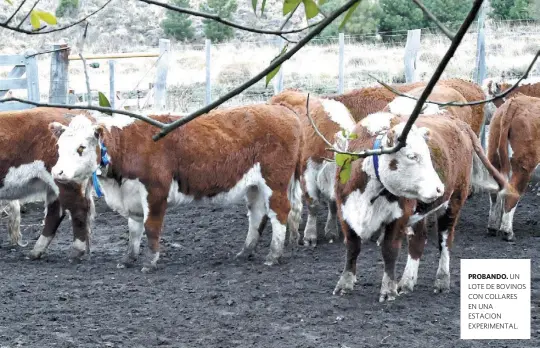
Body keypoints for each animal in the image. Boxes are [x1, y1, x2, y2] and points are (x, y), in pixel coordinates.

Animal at [0, 108, 94, 258]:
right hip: (54, 184)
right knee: (55, 212)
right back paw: (36, 251)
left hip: (65, 180)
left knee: (78, 208)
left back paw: (77, 250)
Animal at [49, 106, 304, 272]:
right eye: (59, 147)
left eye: (81, 148)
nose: (57, 172)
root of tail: (284, 111)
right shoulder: (131, 197)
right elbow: (134, 229)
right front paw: (128, 259)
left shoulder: (155, 191)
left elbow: (151, 227)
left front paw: (150, 262)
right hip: (254, 186)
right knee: (258, 215)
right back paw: (245, 252)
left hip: (276, 181)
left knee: (280, 212)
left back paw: (273, 255)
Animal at [332, 109, 512, 302]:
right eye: (412, 156)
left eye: (428, 154)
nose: (439, 188)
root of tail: (457, 122)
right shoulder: (345, 211)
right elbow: (352, 247)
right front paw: (344, 284)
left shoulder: (399, 216)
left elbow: (389, 250)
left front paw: (388, 290)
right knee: (418, 240)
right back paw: (406, 282)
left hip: (454, 200)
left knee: (445, 240)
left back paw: (442, 281)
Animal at [486, 94, 540, 241]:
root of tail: (515, 102)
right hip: (524, 166)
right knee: (512, 193)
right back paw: (507, 232)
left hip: (493, 156)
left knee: (495, 192)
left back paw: (493, 227)